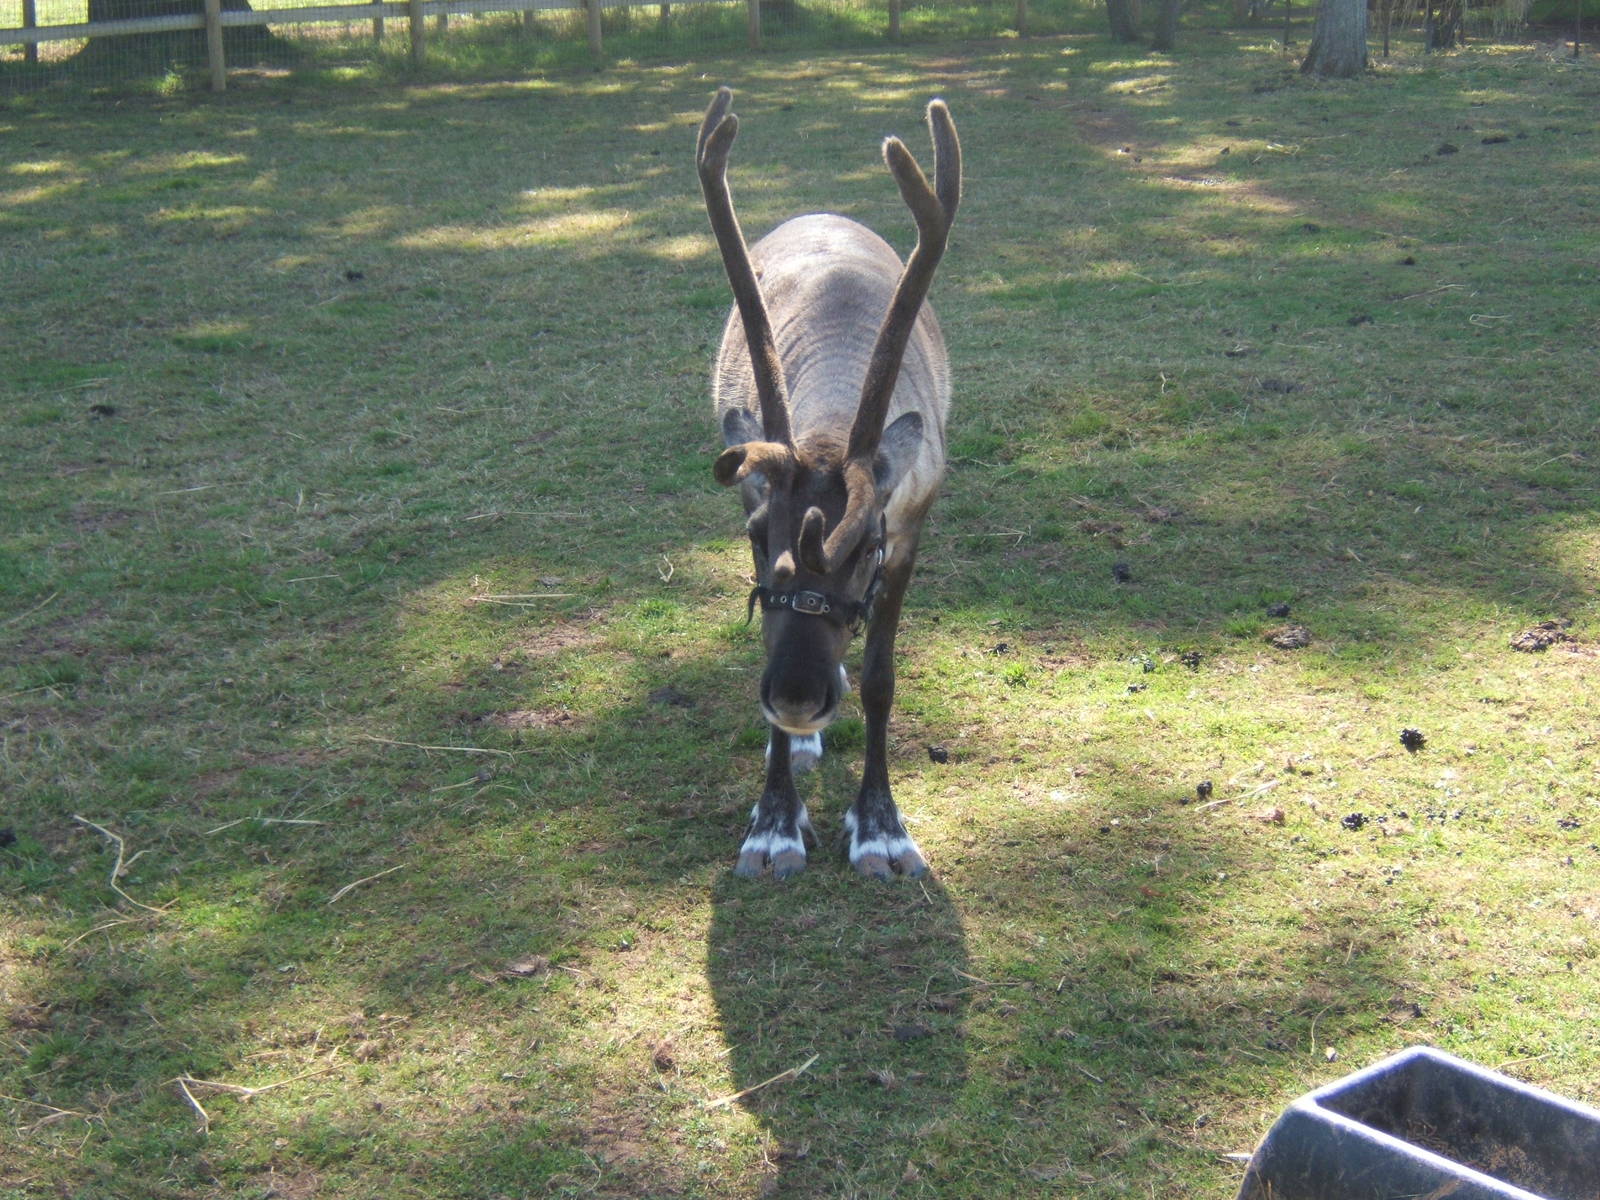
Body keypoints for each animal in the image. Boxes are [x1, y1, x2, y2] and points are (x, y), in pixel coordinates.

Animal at [695, 87, 960, 880]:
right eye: (758, 536)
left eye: (868, 544)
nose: (796, 696)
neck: (829, 428)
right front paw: (774, 822)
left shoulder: (911, 529)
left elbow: (879, 678)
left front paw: (881, 828)